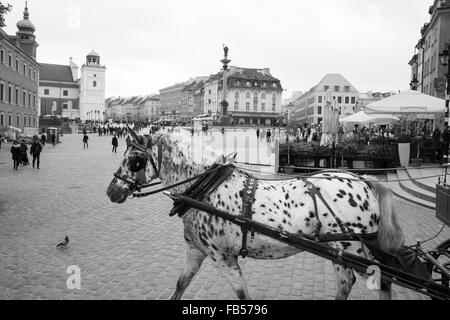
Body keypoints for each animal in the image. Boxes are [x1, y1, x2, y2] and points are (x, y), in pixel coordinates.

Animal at [107, 128, 406, 300]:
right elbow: (181, 284)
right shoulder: (196, 251)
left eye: (134, 161)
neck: (205, 188)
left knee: (376, 282)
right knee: (353, 283)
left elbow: (242, 295)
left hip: (352, 248)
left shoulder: (223, 259)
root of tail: (365, 180)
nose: (111, 191)